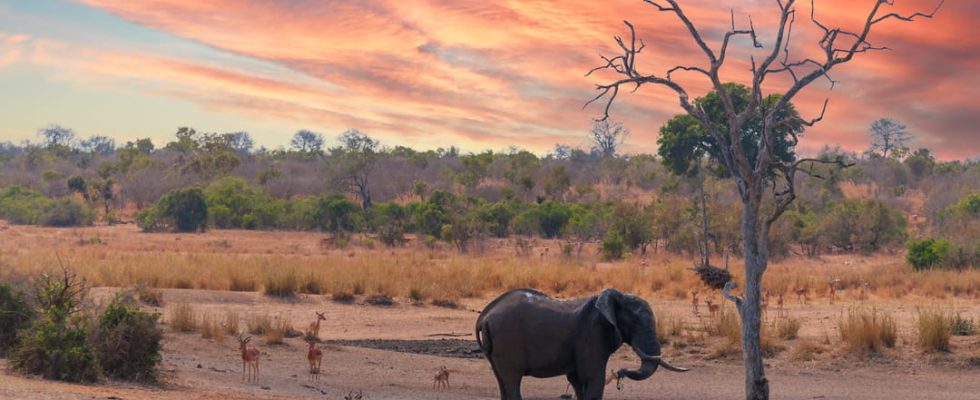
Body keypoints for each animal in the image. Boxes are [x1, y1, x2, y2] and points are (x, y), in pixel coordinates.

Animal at [476, 288, 688, 400]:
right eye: (635, 322)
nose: (621, 371)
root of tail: (485, 315)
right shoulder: (592, 334)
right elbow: (594, 378)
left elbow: (577, 380)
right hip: (507, 339)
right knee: (512, 380)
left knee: (502, 381)